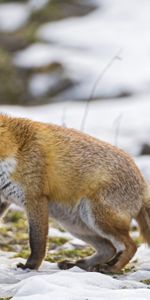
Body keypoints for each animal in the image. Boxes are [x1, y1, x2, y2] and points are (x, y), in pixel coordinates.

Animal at [0, 113, 149, 274]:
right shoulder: (3, 199)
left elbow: (36, 241)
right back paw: (80, 265)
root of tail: (143, 183)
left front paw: (30, 266)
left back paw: (111, 268)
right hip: (75, 224)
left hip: (97, 218)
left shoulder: (35, 198)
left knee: (131, 246)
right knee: (109, 249)